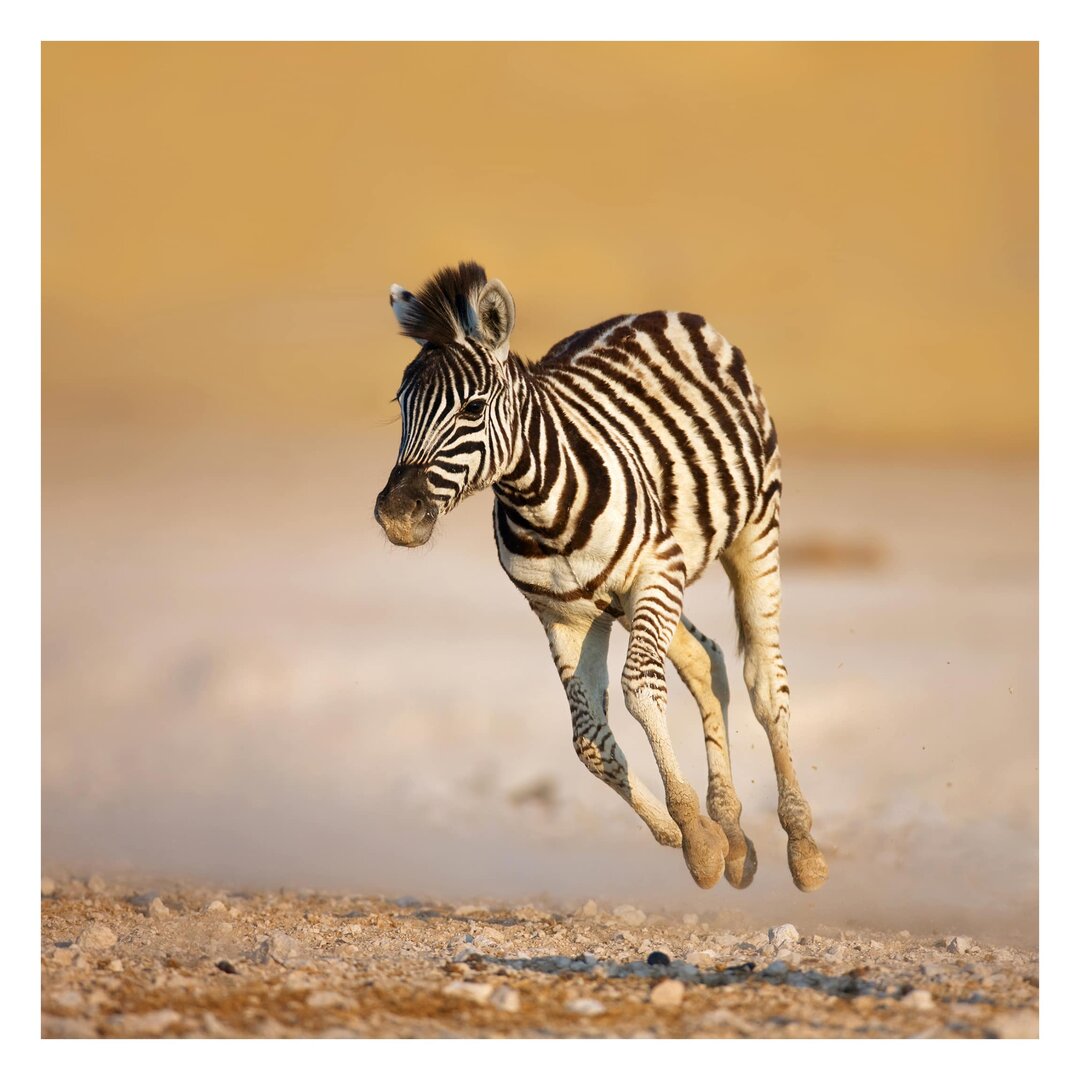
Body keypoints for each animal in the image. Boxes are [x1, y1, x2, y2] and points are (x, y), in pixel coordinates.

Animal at [375, 263, 829, 894]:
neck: (541, 508)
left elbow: (640, 690)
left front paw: (695, 834)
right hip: (635, 597)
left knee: (765, 682)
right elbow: (587, 740)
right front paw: (690, 835)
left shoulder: (655, 570)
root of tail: (656, 313)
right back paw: (735, 835)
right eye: (402, 404)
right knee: (706, 659)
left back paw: (802, 846)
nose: (397, 515)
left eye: (473, 409)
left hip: (749, 534)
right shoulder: (563, 615)